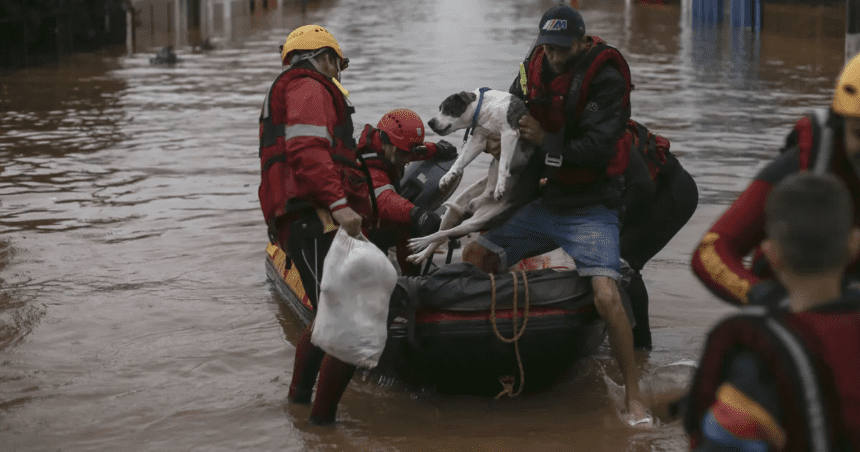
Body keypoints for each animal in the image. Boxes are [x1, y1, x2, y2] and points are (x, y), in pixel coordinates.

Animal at [404, 88, 536, 264]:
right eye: (440, 108)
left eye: (448, 109)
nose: (430, 122)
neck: (486, 108)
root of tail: (478, 202)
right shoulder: (479, 140)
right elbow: (460, 160)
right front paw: (448, 176)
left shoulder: (509, 133)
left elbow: (503, 163)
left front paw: (500, 186)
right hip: (455, 211)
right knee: (439, 236)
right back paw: (420, 254)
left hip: (475, 222)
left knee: (442, 234)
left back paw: (420, 242)